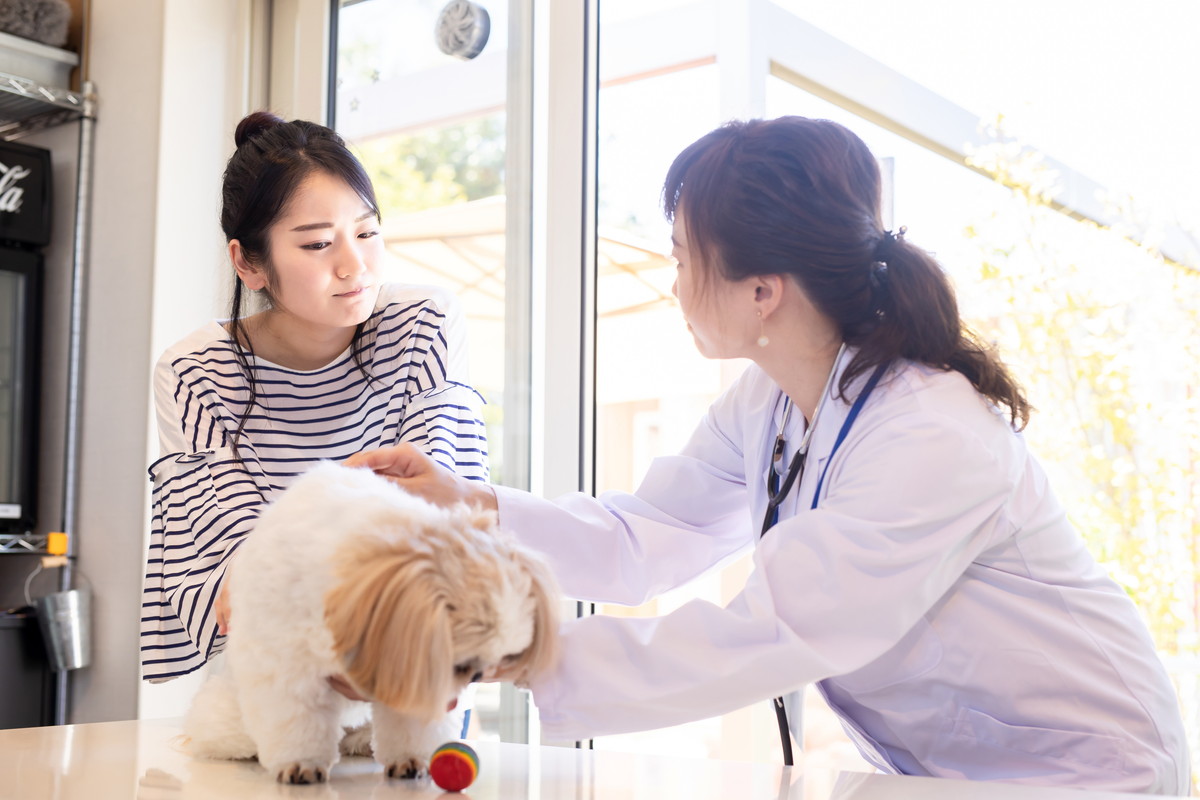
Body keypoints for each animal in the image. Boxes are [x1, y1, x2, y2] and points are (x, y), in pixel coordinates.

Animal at [184, 462, 559, 782]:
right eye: (462, 664)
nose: (478, 676)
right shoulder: (287, 666)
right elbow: (297, 720)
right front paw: (300, 765)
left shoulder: (410, 668)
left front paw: (409, 759)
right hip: (229, 717)